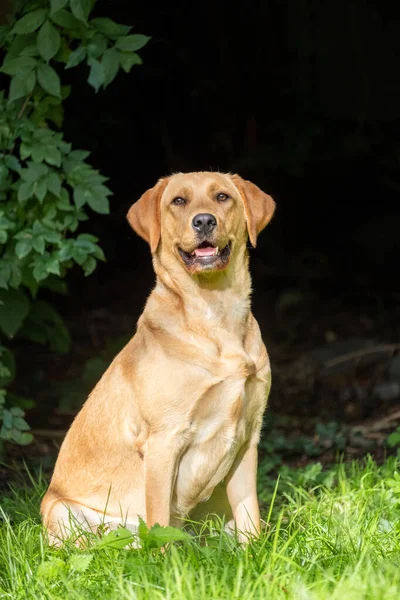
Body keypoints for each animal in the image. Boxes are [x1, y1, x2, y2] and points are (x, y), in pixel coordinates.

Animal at [40, 172, 276, 544]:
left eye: (222, 197)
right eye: (178, 201)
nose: (204, 221)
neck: (215, 314)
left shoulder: (247, 437)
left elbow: (250, 516)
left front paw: (252, 552)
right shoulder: (164, 440)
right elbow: (161, 521)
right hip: (61, 511)